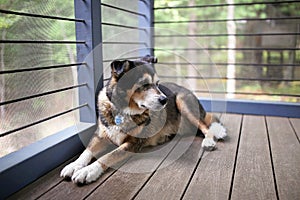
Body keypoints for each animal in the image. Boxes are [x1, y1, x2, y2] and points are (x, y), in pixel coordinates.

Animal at [59, 55, 226, 184]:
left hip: (182, 102)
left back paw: (208, 141)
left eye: (157, 84)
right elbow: (86, 151)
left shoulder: (133, 143)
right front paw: (74, 165)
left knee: (205, 127)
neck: (122, 111)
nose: (165, 100)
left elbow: (109, 155)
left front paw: (89, 170)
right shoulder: (100, 135)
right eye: (144, 84)